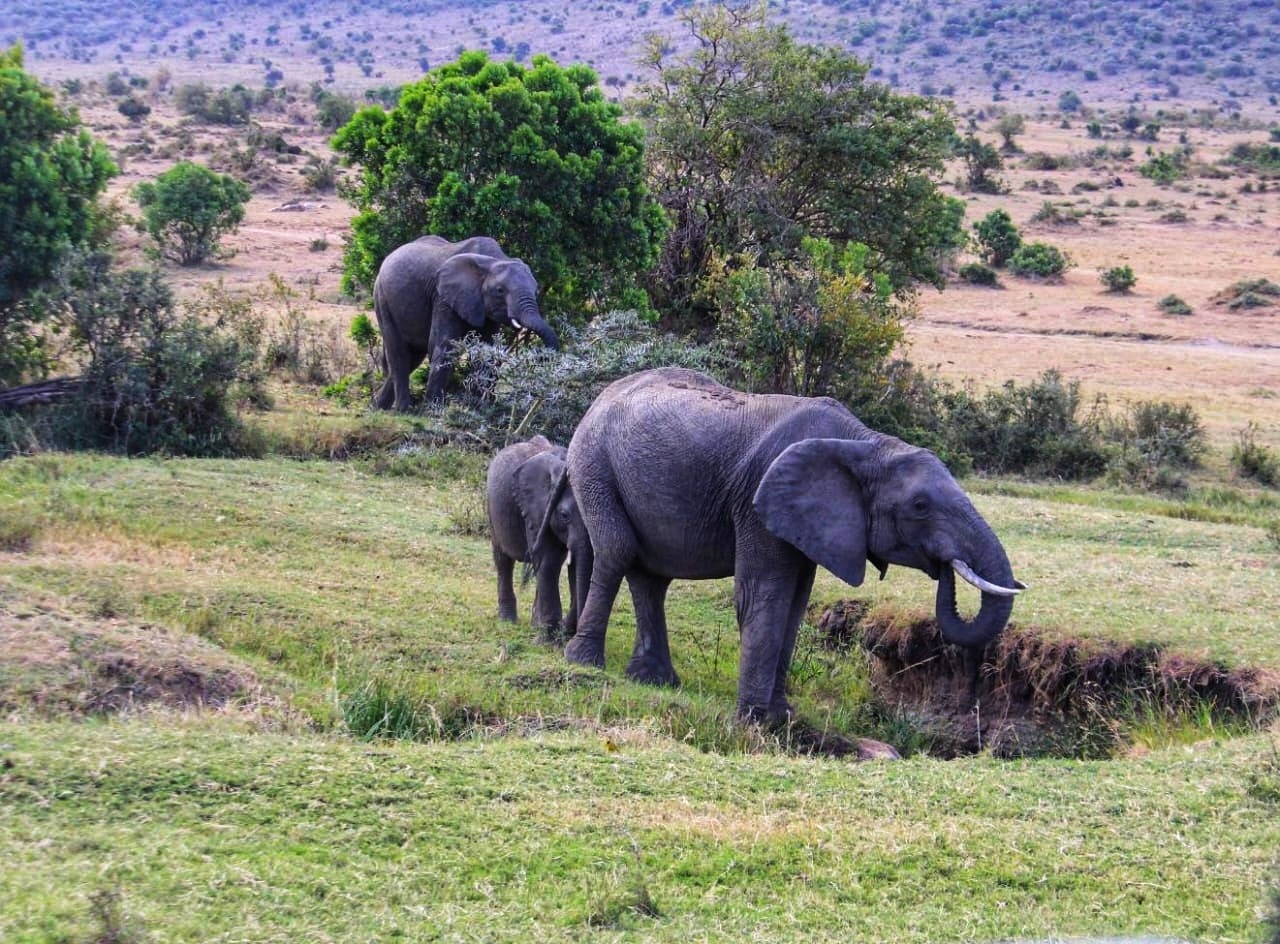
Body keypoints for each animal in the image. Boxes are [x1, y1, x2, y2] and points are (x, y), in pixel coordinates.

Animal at [366, 234, 555, 406]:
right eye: (500, 291)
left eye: (536, 291)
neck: (493, 261)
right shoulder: (443, 297)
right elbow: (445, 344)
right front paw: (433, 409)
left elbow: (487, 349)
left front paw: (483, 407)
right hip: (382, 297)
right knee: (399, 354)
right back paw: (403, 410)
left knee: (413, 358)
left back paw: (379, 408)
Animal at [486, 434, 591, 639]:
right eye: (564, 516)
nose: (568, 633)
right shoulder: (536, 510)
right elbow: (547, 559)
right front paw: (549, 640)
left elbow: (570, 566)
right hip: (492, 508)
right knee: (503, 560)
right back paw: (507, 620)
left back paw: (535, 624)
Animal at [565, 368, 1024, 721]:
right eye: (920, 506)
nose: (945, 566)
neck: (867, 444)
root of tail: (600, 396)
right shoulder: (758, 504)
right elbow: (764, 596)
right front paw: (753, 719)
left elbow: (796, 605)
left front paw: (780, 716)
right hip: (594, 463)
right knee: (618, 551)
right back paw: (584, 662)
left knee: (651, 576)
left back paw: (654, 679)